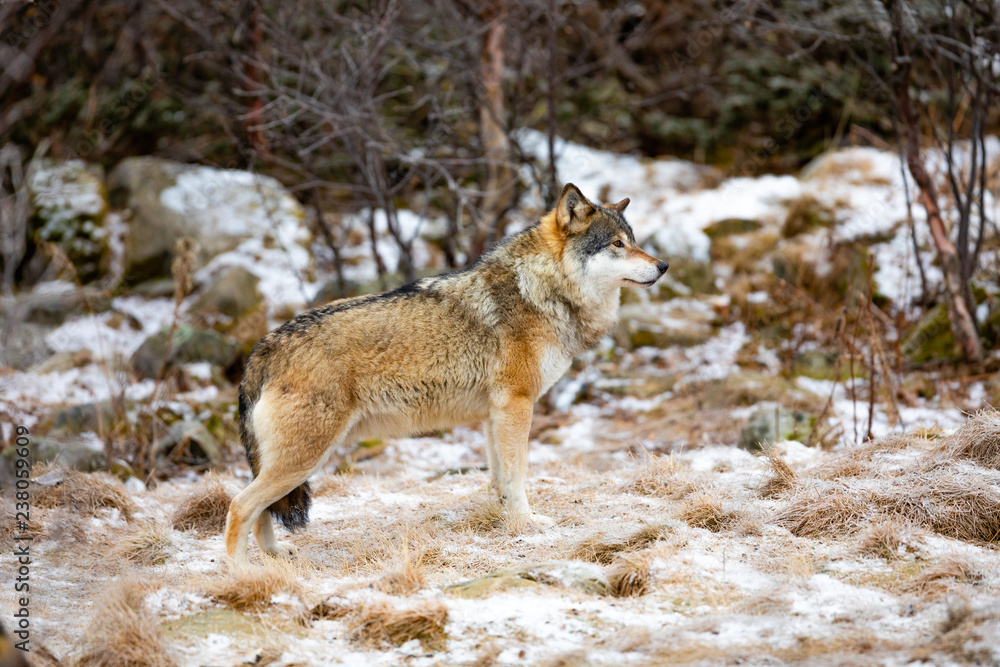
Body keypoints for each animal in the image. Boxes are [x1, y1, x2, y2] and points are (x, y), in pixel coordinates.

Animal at [224, 183, 669, 564]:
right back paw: (242, 575)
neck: (541, 290)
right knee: (238, 506)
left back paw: (274, 558)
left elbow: (500, 478)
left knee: (259, 511)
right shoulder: (516, 404)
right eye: (617, 244)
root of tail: (264, 347)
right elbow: (518, 475)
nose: (663, 265)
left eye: (633, 240)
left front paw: (505, 521)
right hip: (304, 459)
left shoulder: (495, 414)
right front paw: (527, 524)